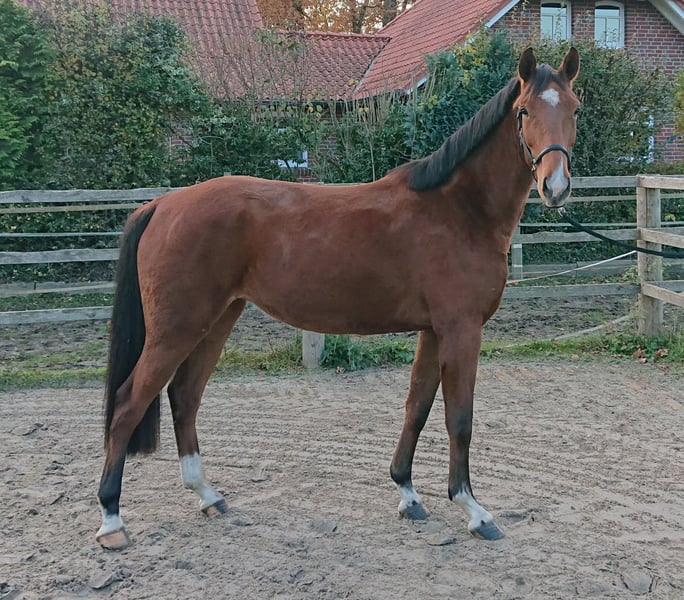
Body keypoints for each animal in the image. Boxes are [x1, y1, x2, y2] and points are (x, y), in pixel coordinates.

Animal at [96, 47, 581, 549]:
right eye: (524, 112)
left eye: (575, 109)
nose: (556, 187)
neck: (460, 210)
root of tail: (162, 205)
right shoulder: (461, 330)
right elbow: (458, 420)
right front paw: (474, 510)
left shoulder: (433, 331)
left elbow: (417, 409)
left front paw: (408, 494)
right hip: (178, 327)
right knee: (129, 404)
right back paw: (112, 519)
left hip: (217, 319)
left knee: (185, 395)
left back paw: (208, 496)